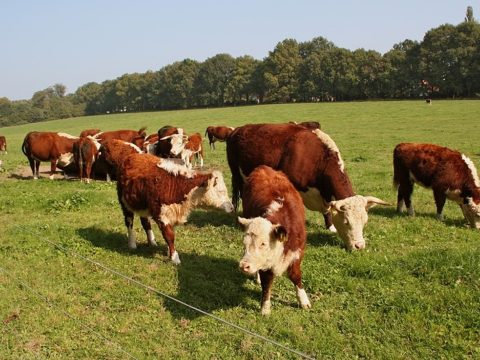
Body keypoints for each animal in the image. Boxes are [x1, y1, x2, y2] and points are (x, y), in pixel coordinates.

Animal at [226, 124, 390, 250]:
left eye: (364, 221)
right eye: (346, 222)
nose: (359, 246)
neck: (317, 158)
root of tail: (237, 129)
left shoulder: (325, 195)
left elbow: (327, 211)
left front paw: (330, 227)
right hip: (235, 173)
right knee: (237, 195)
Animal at [237, 166, 312, 316]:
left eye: (263, 243)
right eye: (244, 243)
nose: (244, 266)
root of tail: (263, 168)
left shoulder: (297, 253)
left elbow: (296, 276)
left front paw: (304, 300)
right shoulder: (266, 265)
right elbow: (266, 284)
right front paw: (265, 308)